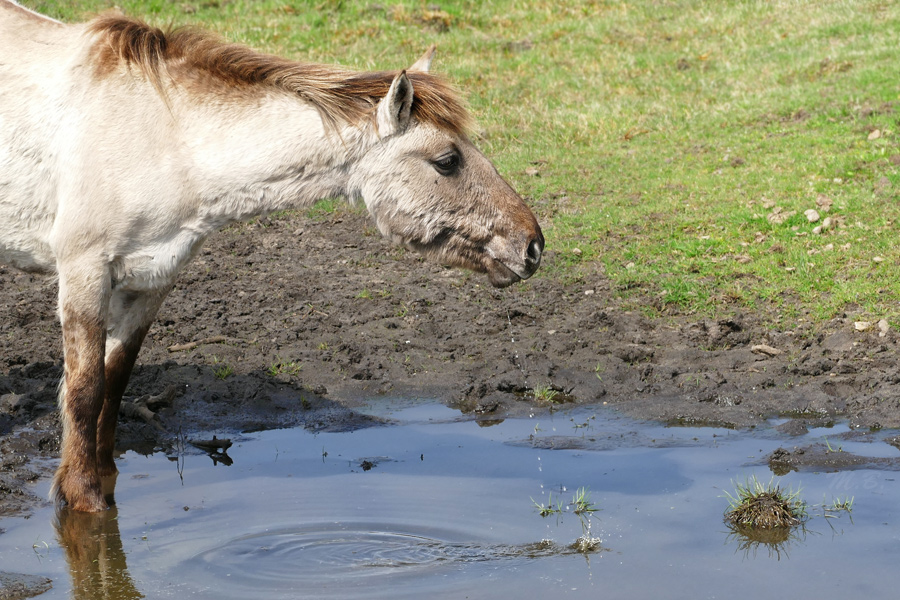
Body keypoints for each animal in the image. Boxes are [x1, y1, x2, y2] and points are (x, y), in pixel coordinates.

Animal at [0, 0, 544, 512]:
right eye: (447, 161)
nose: (533, 245)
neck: (164, 139)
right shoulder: (84, 271)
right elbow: (84, 390)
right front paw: (83, 496)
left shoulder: (152, 281)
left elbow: (114, 385)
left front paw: (106, 477)